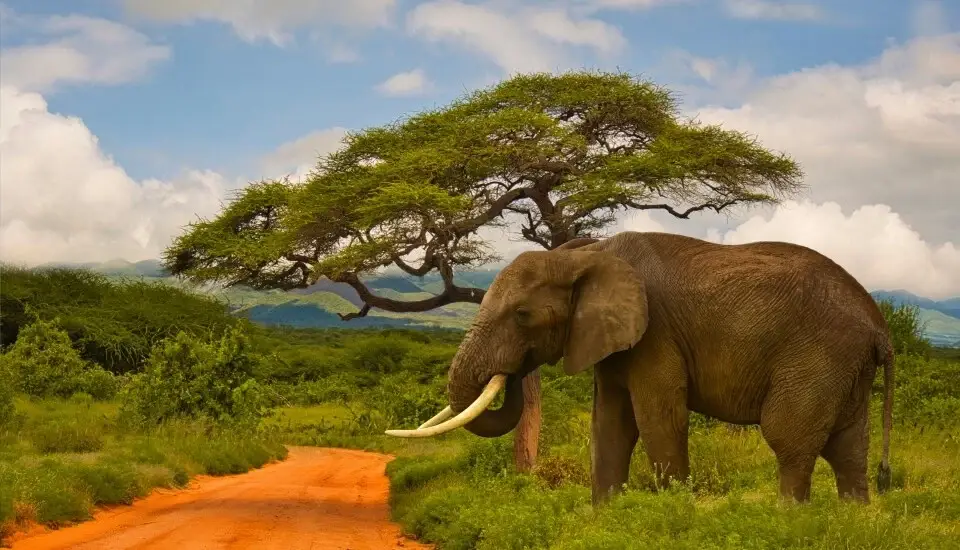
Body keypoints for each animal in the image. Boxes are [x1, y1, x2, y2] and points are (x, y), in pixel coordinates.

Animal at [387, 231, 895, 506]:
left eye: (523, 315)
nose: (511, 372)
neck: (587, 254)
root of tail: (879, 327)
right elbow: (609, 425)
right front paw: (607, 518)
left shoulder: (656, 334)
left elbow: (658, 420)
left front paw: (672, 515)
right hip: (844, 367)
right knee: (848, 450)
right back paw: (848, 519)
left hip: (817, 355)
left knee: (790, 440)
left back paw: (786, 520)